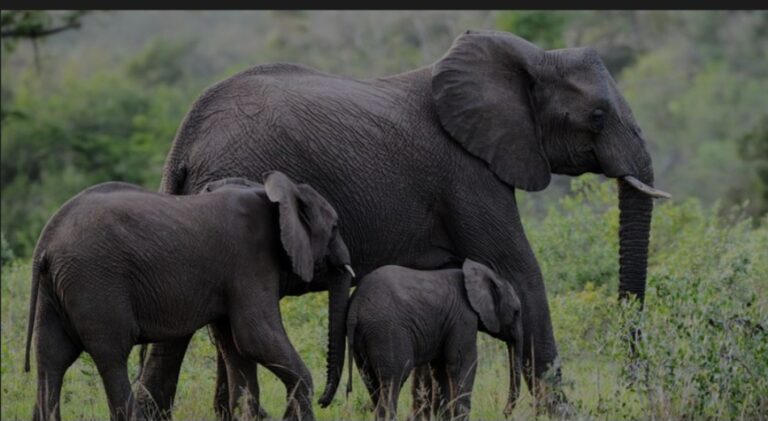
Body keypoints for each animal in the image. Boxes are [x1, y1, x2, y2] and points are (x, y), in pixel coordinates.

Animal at [24, 170, 354, 420]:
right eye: (336, 226)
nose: (327, 401)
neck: (274, 191)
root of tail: (46, 242)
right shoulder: (250, 261)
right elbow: (255, 336)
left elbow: (236, 345)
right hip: (95, 280)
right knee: (111, 355)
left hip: (55, 290)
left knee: (51, 356)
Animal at [344, 260, 524, 420]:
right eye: (516, 312)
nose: (505, 413)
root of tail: (355, 307)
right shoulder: (463, 318)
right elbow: (462, 364)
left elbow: (441, 369)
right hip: (387, 331)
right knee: (394, 379)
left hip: (364, 340)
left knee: (372, 381)